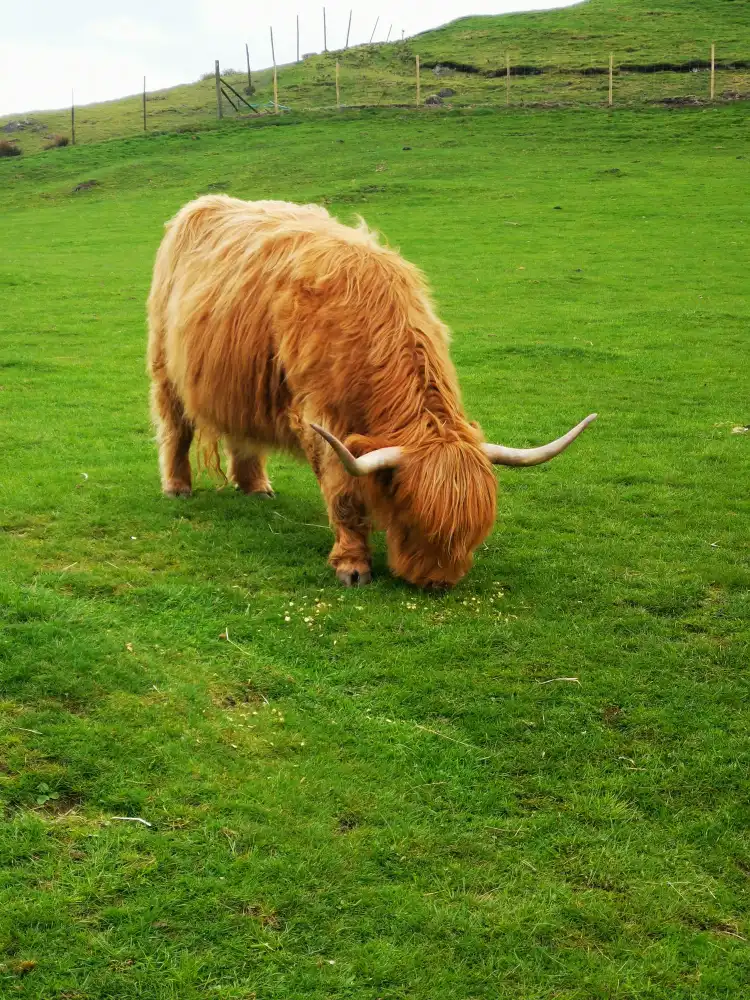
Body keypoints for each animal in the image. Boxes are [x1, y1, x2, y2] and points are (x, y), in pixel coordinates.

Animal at [145, 194, 592, 584]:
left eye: (473, 533)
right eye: (410, 517)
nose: (438, 582)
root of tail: (202, 204)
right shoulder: (321, 419)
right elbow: (343, 492)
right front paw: (353, 565)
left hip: (240, 382)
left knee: (242, 435)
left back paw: (256, 488)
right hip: (165, 366)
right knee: (176, 427)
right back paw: (177, 488)